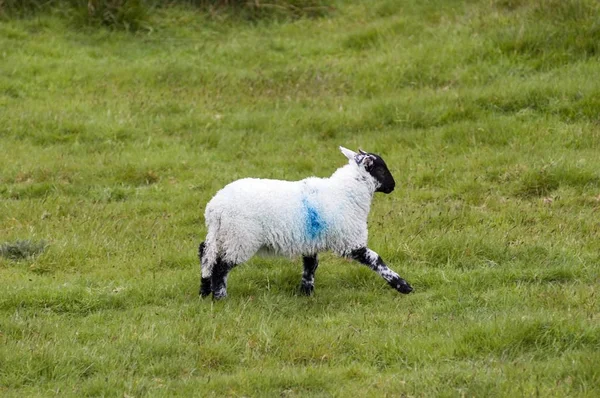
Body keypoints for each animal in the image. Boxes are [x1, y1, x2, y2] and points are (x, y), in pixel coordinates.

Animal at [197, 146, 412, 298]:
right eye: (381, 169)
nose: (393, 186)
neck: (346, 192)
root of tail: (215, 208)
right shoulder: (349, 241)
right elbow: (376, 260)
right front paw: (403, 286)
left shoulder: (310, 241)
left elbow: (310, 266)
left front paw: (305, 293)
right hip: (240, 237)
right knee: (220, 266)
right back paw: (219, 297)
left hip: (223, 235)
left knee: (206, 255)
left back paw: (204, 292)